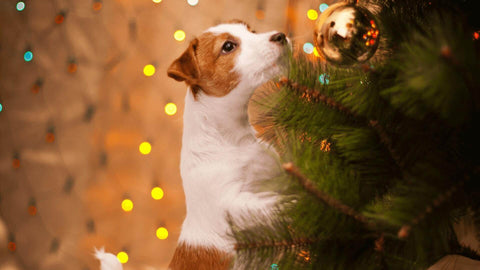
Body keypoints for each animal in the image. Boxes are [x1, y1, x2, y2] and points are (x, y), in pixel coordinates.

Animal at [95, 19, 286, 270]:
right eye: (228, 46)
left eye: (252, 32)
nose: (281, 36)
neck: (233, 139)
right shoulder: (229, 203)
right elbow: (268, 204)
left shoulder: (273, 174)